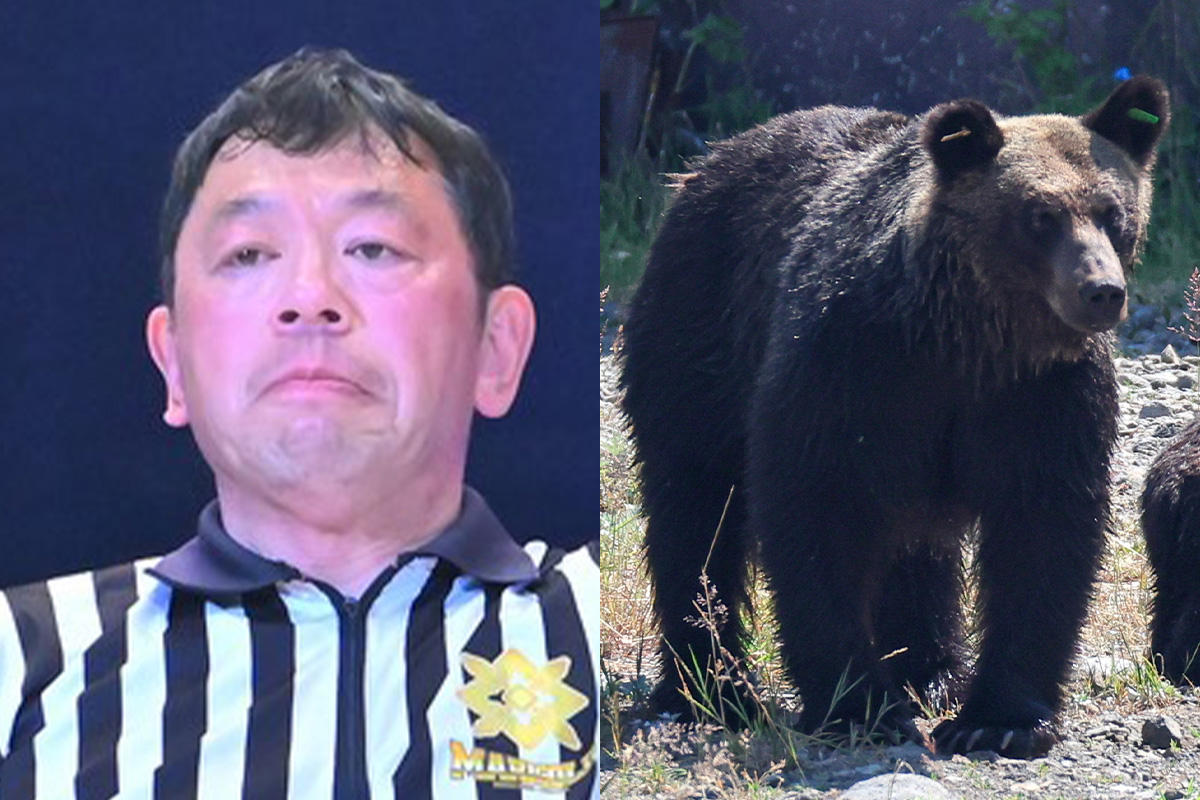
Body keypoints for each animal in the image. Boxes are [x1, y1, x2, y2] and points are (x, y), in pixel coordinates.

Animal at [620, 76, 1169, 759]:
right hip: (698, 337)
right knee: (693, 506)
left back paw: (931, 672)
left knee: (918, 547)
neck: (964, 338)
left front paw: (999, 719)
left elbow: (1043, 531)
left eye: (1114, 214)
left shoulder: (1041, 397)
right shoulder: (849, 365)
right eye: (1040, 215)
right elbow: (817, 512)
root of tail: (705, 165)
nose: (1101, 292)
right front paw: (859, 705)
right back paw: (707, 691)